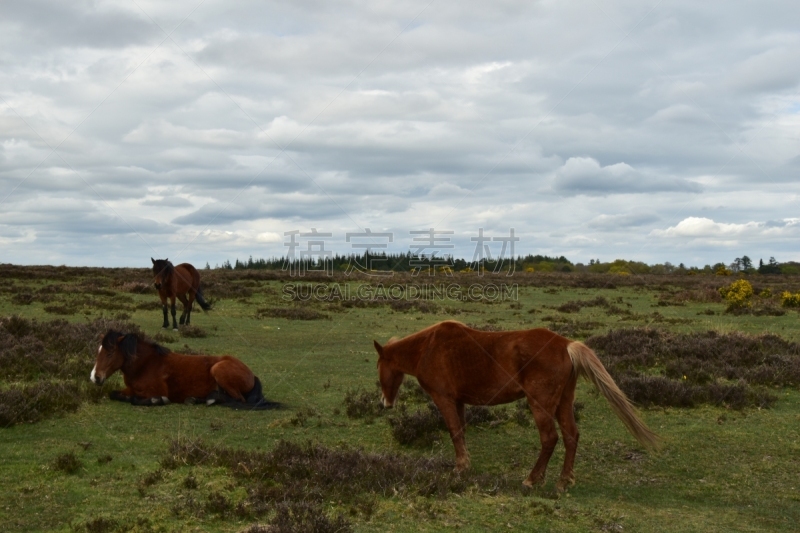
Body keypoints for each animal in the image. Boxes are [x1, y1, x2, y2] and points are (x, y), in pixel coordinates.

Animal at [89, 328, 278, 408]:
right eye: (98, 350)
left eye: (110, 353)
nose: (95, 377)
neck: (146, 364)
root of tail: (252, 374)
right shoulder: (130, 389)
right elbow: (115, 394)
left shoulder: (155, 391)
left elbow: (137, 400)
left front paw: (157, 401)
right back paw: (197, 399)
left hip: (219, 370)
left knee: (238, 400)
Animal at [372, 320, 660, 490]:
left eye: (379, 367)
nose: (385, 402)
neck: (428, 348)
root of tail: (566, 345)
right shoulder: (459, 401)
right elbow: (461, 431)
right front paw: (466, 464)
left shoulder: (444, 399)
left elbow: (454, 431)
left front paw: (460, 467)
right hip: (563, 402)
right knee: (571, 435)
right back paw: (563, 481)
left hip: (540, 404)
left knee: (550, 438)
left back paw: (532, 480)